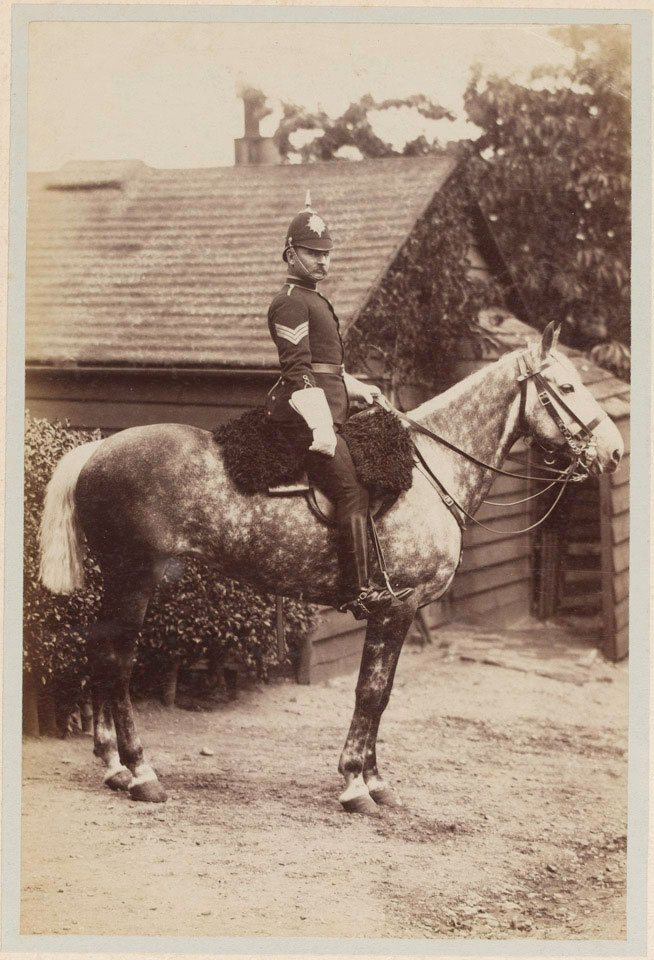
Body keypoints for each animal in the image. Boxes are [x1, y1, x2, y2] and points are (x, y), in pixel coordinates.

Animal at [38, 324, 624, 816]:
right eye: (566, 387)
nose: (615, 452)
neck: (428, 470)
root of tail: (97, 448)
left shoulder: (398, 613)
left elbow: (381, 693)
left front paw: (376, 780)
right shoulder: (396, 606)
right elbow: (372, 692)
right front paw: (355, 783)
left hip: (119, 584)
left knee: (99, 652)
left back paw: (113, 764)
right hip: (134, 579)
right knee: (117, 663)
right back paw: (141, 772)